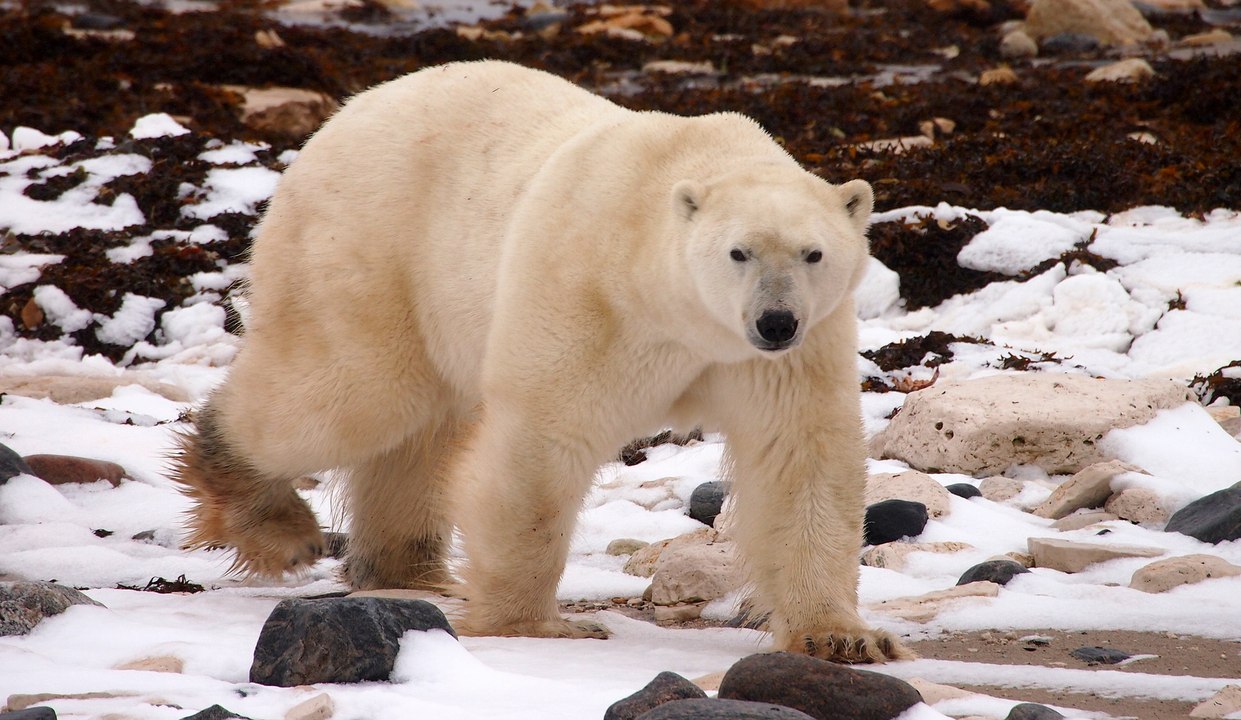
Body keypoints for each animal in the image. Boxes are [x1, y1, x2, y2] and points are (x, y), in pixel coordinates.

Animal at [171, 60, 910, 663]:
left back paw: (408, 568)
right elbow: (543, 443)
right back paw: (271, 518)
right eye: (739, 252)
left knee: (419, 428)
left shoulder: (790, 353)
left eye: (813, 253)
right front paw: (538, 625)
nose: (775, 320)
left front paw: (843, 636)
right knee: (350, 397)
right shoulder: (588, 292)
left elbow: (801, 458)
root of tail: (345, 113)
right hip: (370, 246)